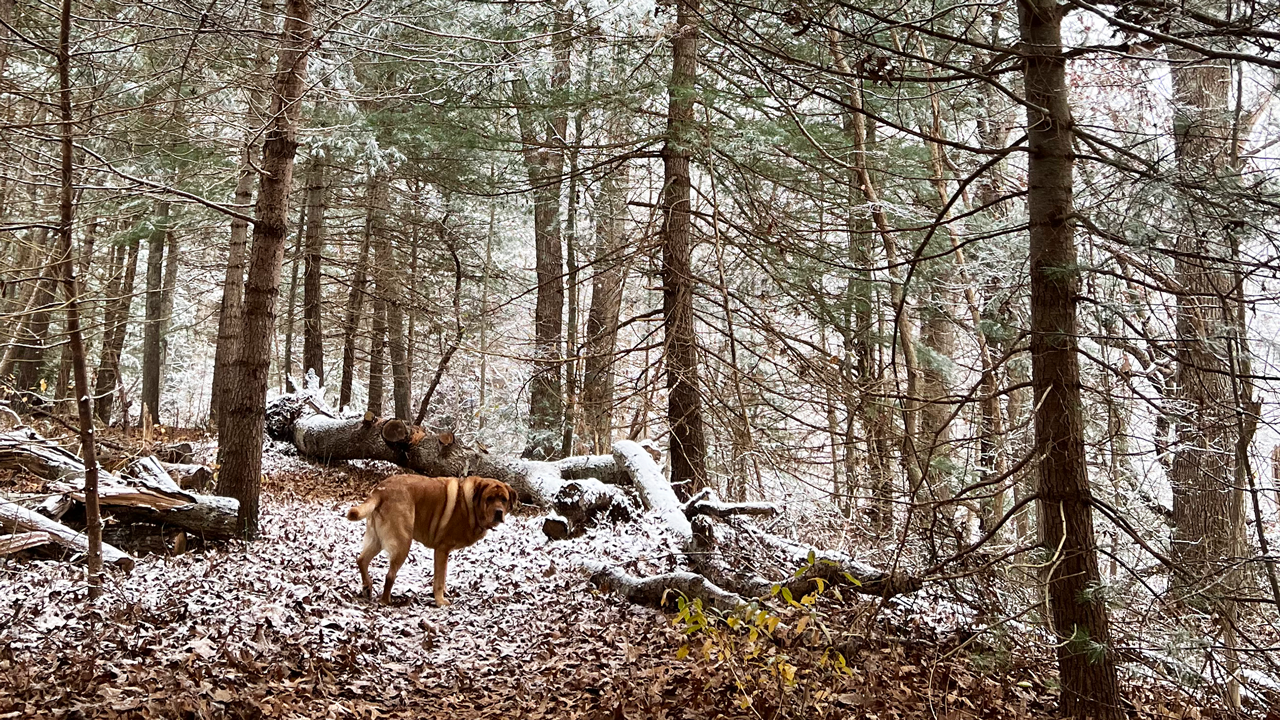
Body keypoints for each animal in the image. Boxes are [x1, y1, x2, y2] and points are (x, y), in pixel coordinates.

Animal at [348, 474, 517, 602]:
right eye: (489, 499)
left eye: (503, 499)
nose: (499, 512)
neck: (471, 506)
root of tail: (380, 490)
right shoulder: (442, 550)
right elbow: (440, 579)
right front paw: (440, 601)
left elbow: (441, 577)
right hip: (403, 542)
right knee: (389, 575)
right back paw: (385, 601)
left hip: (376, 539)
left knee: (361, 560)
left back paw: (367, 587)